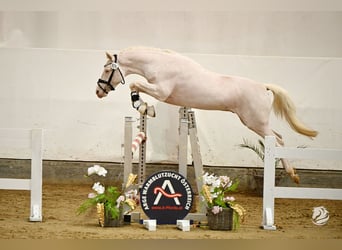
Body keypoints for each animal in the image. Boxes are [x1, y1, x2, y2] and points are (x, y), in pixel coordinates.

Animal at [95, 47, 318, 184]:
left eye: (106, 70)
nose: (98, 92)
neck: (160, 63)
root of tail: (263, 87)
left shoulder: (161, 91)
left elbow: (134, 85)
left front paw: (142, 106)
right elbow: (135, 86)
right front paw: (145, 108)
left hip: (255, 122)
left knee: (277, 140)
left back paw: (292, 174)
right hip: (256, 122)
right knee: (279, 138)